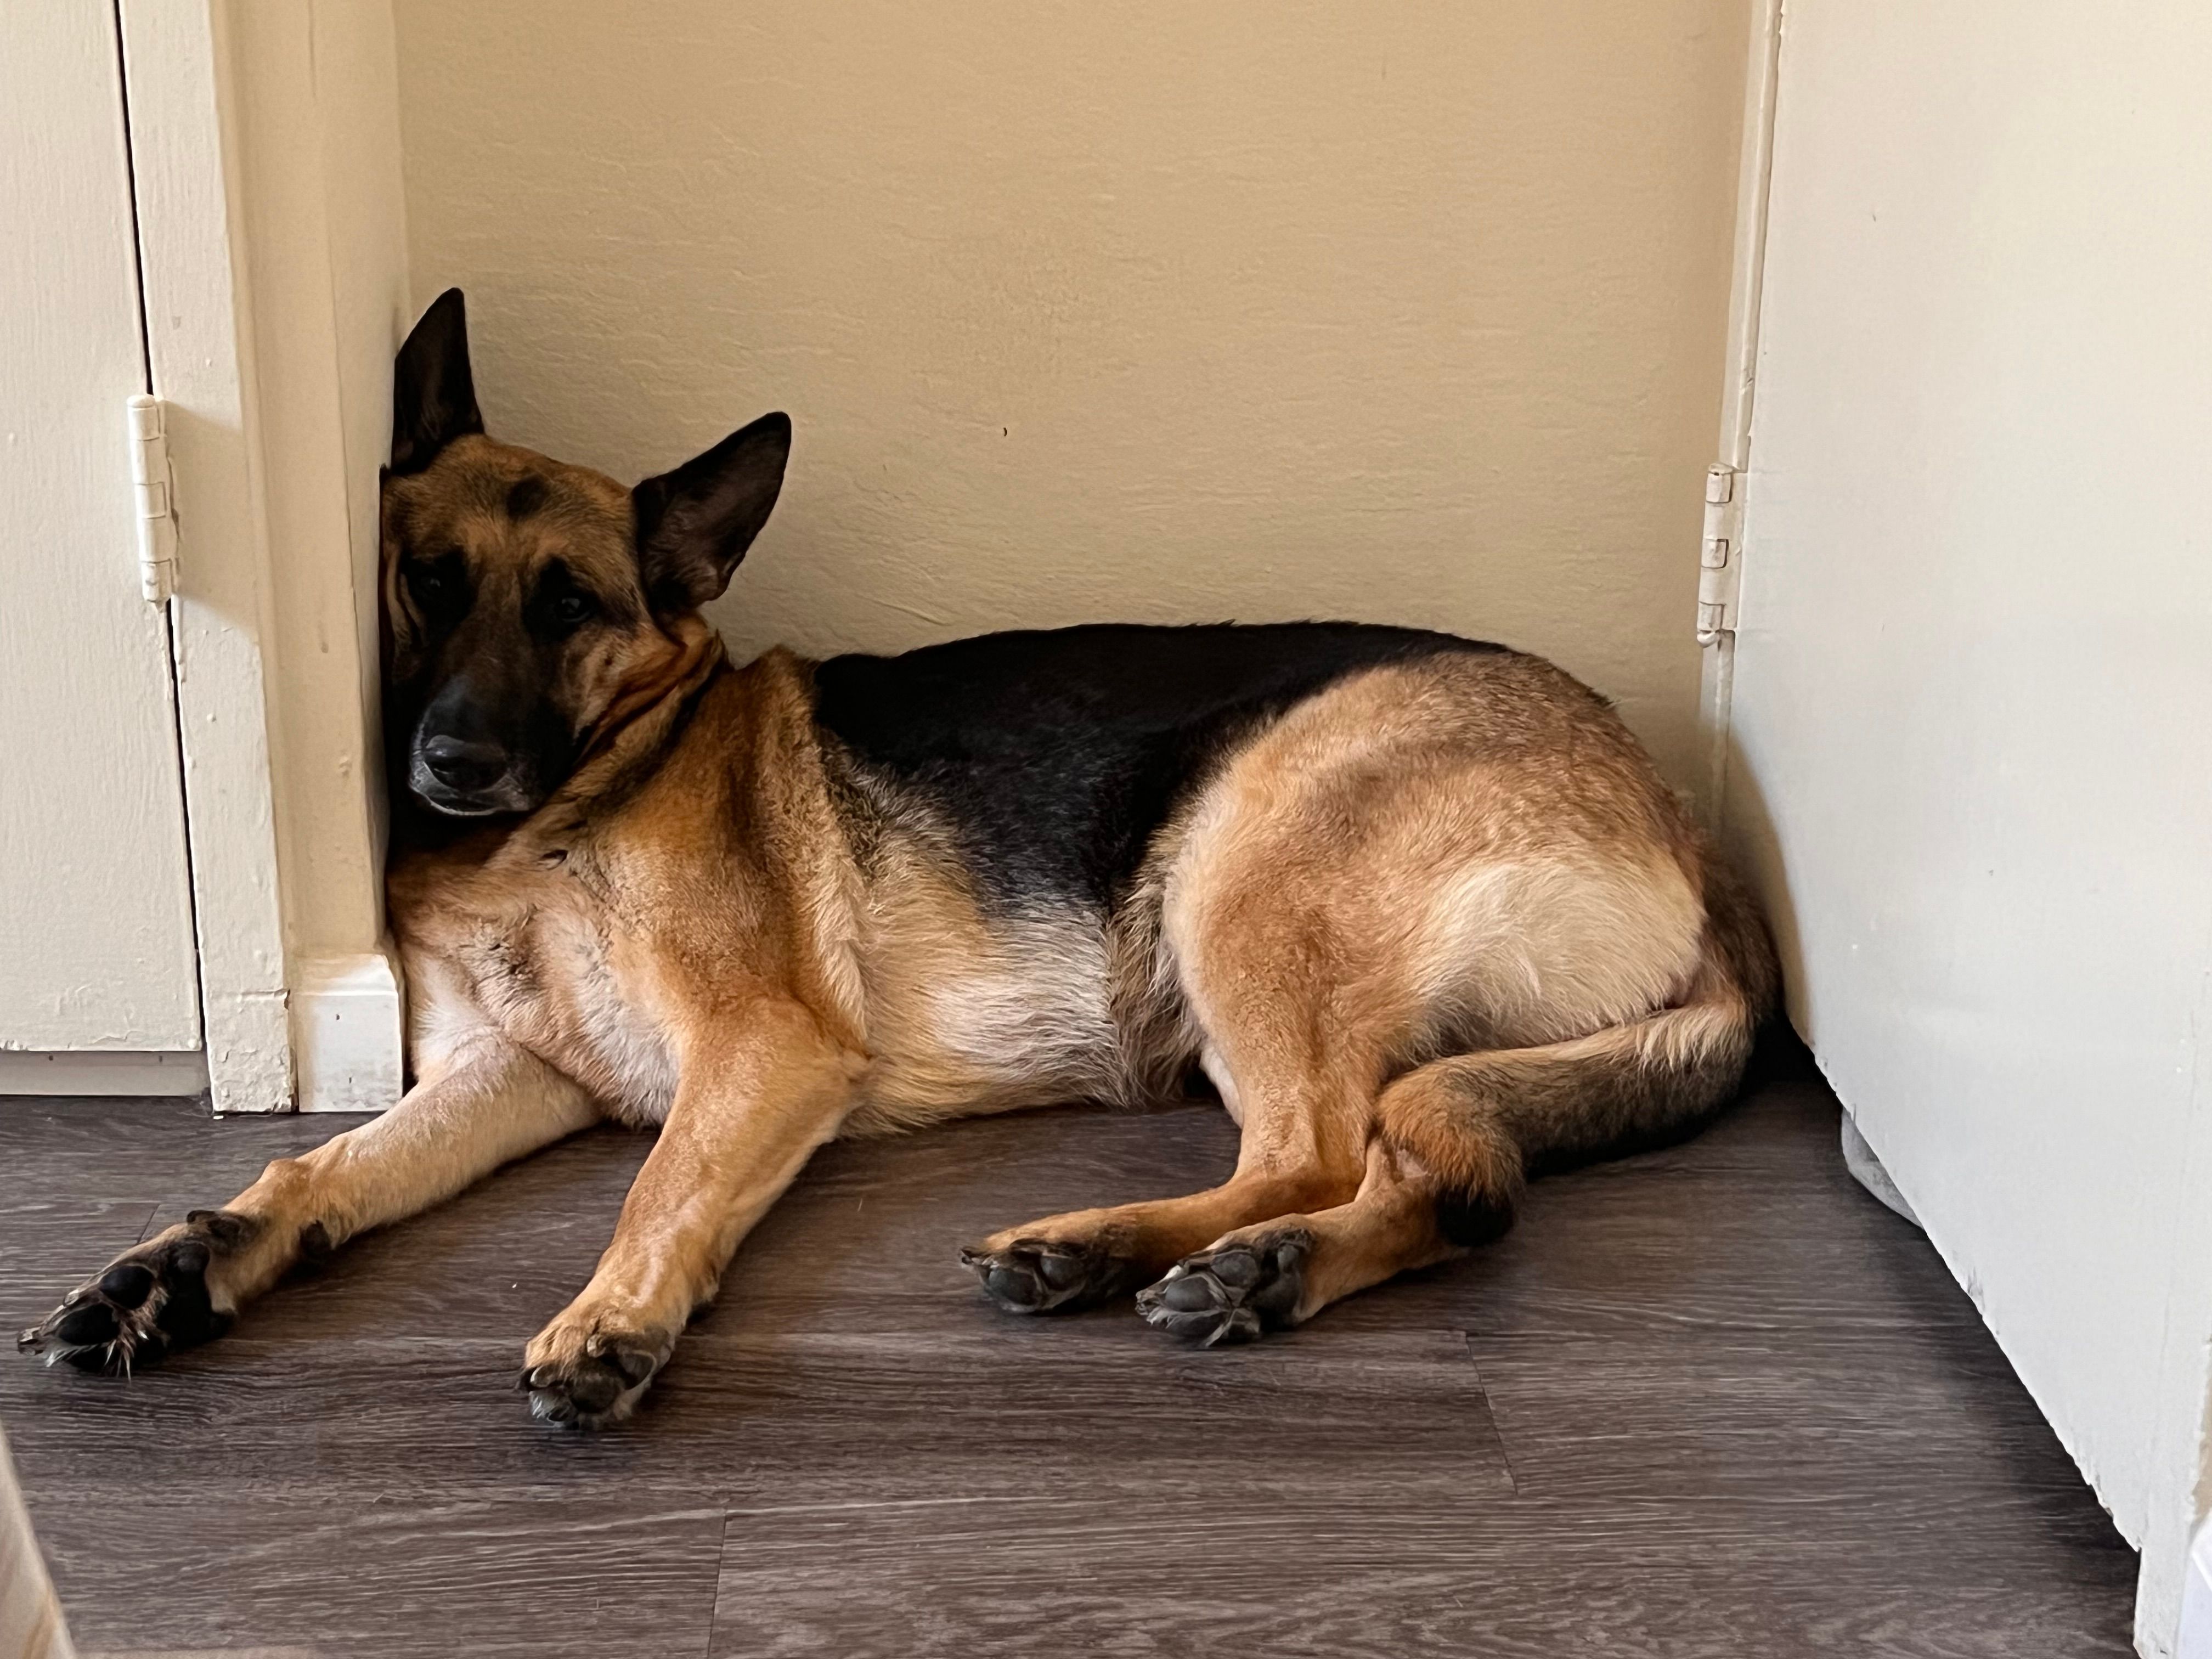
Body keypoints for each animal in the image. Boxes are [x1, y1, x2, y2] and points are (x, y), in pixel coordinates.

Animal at [20, 291, 1776, 1427]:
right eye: (430, 582)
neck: (587, 792)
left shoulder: (761, 1048)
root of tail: (1682, 823)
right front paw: (179, 1267)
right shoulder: (513, 1073)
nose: (453, 764)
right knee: (1431, 1174)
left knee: (1337, 1151)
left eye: (570, 606)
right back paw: (1212, 1268)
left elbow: (659, 1187)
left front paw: (613, 1313)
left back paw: (1151, 1254)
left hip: (1238, 864)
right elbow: (320, 1174)